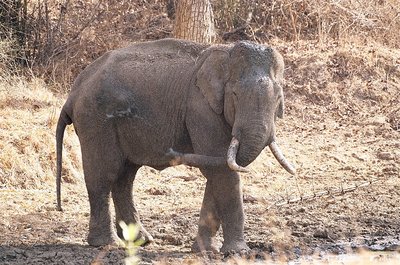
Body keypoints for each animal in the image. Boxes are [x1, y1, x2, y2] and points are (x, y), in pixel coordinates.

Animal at [55, 37, 294, 252]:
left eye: (278, 98)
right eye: (234, 95)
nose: (170, 151)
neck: (226, 52)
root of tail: (74, 92)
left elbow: (218, 170)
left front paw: (204, 250)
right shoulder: (200, 109)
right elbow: (222, 170)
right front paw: (237, 252)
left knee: (125, 177)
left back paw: (141, 241)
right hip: (95, 120)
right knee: (104, 175)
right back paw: (106, 244)